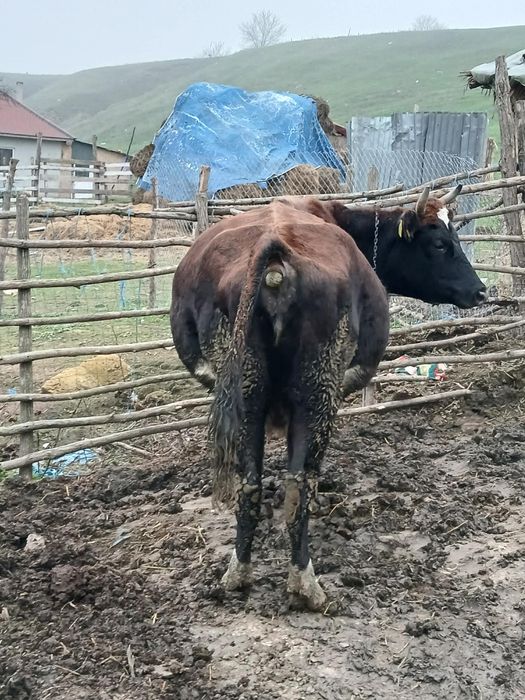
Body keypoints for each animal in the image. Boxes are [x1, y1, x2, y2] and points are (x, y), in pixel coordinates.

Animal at [171, 201, 390, 610]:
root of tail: (276, 250)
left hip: (251, 394)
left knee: (253, 484)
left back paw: (240, 574)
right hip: (317, 394)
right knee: (299, 482)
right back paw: (305, 583)